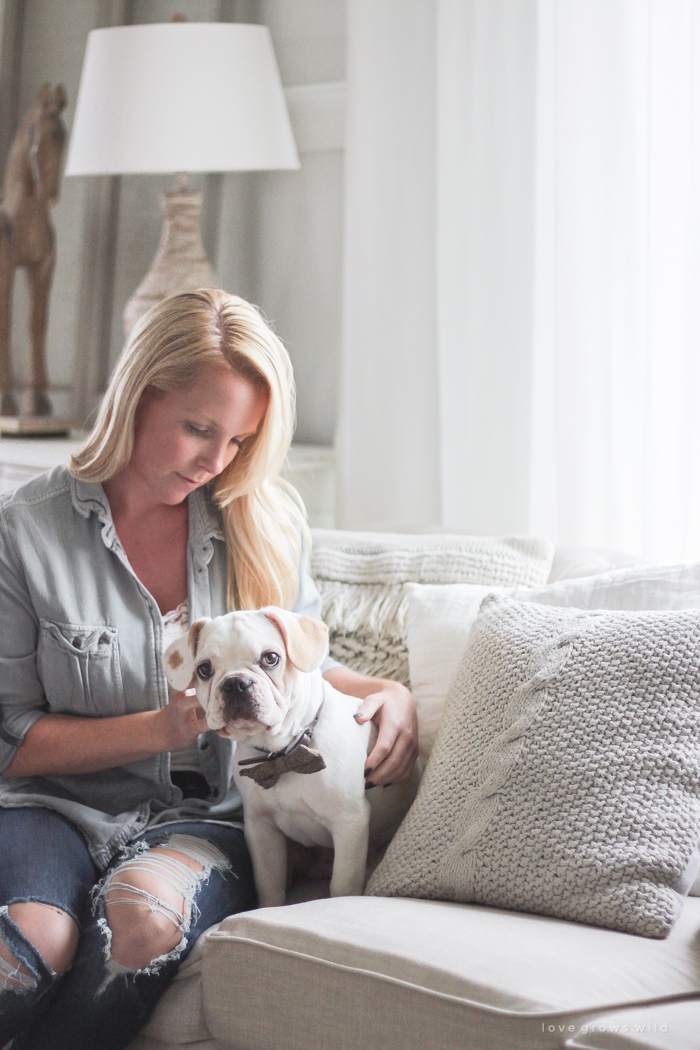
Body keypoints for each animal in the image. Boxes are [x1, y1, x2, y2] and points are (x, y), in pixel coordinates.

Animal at [161, 613, 419, 907]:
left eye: (271, 658)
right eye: (204, 669)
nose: (235, 683)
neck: (282, 753)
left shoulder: (349, 823)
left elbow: (342, 884)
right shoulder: (262, 830)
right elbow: (269, 884)